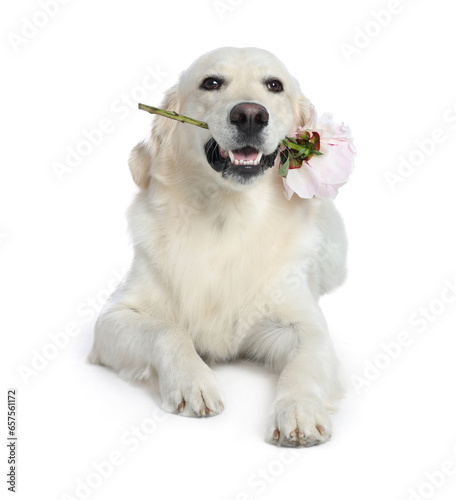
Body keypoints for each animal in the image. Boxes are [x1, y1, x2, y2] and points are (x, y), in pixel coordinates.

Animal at [87, 46, 348, 446]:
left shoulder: (304, 324)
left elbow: (303, 364)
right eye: (211, 83)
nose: (250, 114)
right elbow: (168, 330)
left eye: (274, 85)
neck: (227, 216)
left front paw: (298, 410)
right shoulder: (113, 318)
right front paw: (192, 380)